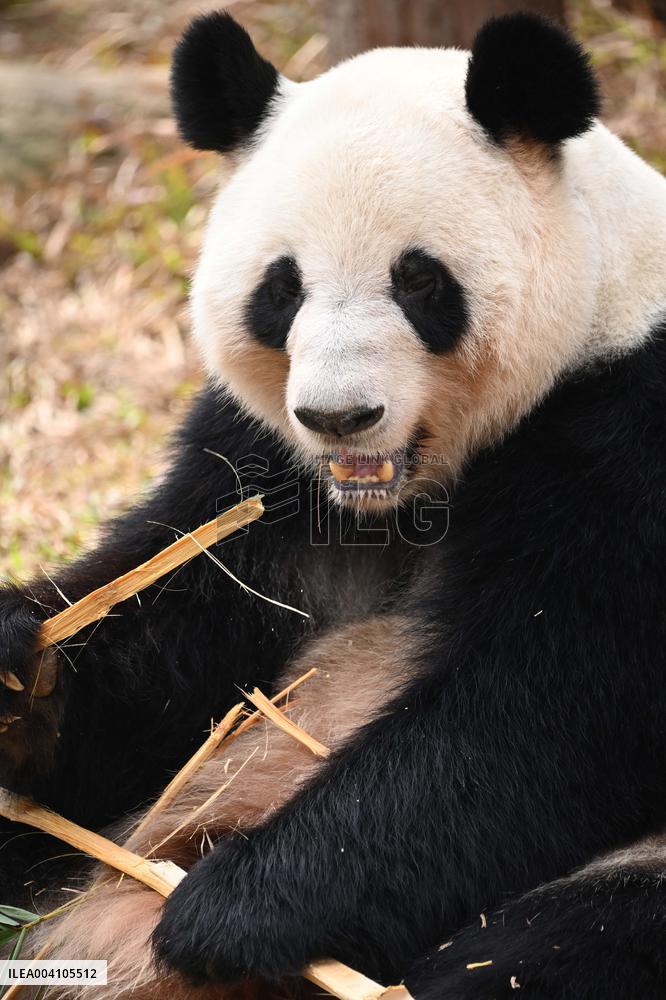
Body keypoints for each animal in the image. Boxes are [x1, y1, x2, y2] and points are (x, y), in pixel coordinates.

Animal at [0, 9, 664, 1000]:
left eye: (419, 280)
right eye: (283, 288)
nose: (339, 417)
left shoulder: (629, 440)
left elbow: (549, 714)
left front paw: (238, 906)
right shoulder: (262, 472)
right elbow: (174, 639)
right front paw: (19, 672)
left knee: (549, 945)